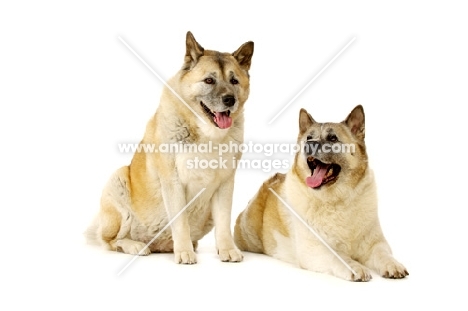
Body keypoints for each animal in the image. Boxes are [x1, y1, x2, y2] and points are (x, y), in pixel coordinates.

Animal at [86, 31, 254, 266]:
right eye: (209, 80)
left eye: (234, 81)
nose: (229, 99)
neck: (206, 135)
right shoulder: (173, 182)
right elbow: (181, 223)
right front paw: (184, 252)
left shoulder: (225, 185)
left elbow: (223, 223)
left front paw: (227, 250)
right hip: (117, 180)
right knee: (111, 241)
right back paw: (137, 246)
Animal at [236, 106, 408, 282]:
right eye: (309, 137)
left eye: (332, 138)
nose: (309, 145)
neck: (338, 199)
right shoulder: (315, 247)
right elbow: (338, 256)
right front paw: (355, 267)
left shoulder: (376, 244)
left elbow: (383, 254)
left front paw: (393, 265)